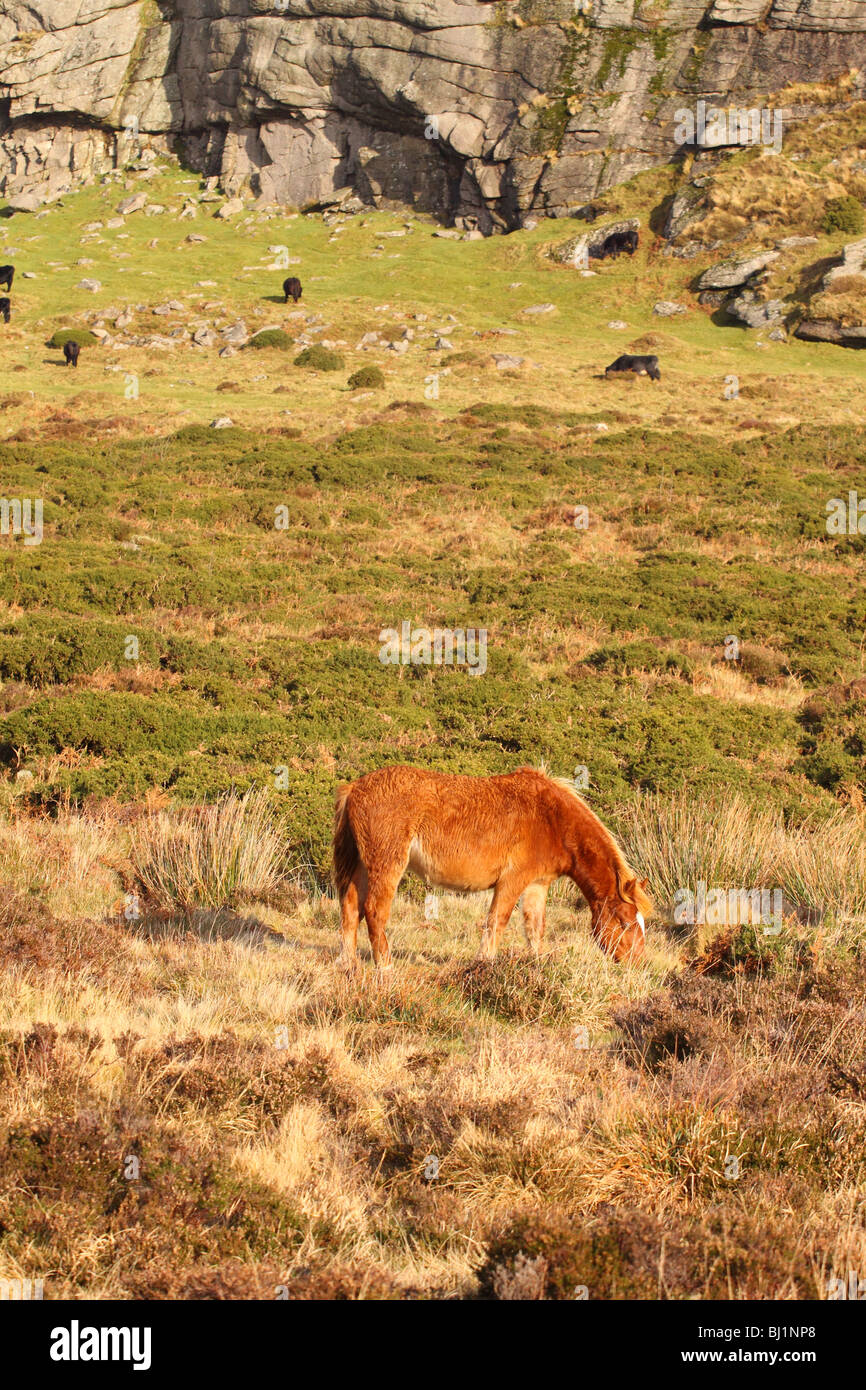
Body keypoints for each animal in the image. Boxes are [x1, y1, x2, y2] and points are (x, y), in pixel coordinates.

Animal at [333, 765, 651, 972]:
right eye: (625, 922)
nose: (638, 964)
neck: (552, 818)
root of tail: (355, 788)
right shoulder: (512, 881)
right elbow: (497, 921)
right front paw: (484, 963)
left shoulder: (537, 885)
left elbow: (534, 927)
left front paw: (539, 966)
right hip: (387, 866)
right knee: (374, 911)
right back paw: (385, 967)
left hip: (364, 867)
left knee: (350, 908)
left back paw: (348, 964)